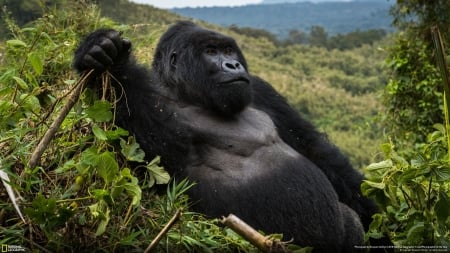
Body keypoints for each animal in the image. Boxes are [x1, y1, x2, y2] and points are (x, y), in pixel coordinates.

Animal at [73, 20, 380, 252]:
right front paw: (103, 55)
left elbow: (311, 146)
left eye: (229, 50)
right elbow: (151, 150)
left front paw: (376, 209)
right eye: (211, 51)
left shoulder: (261, 89)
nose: (233, 65)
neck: (192, 94)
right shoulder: (159, 106)